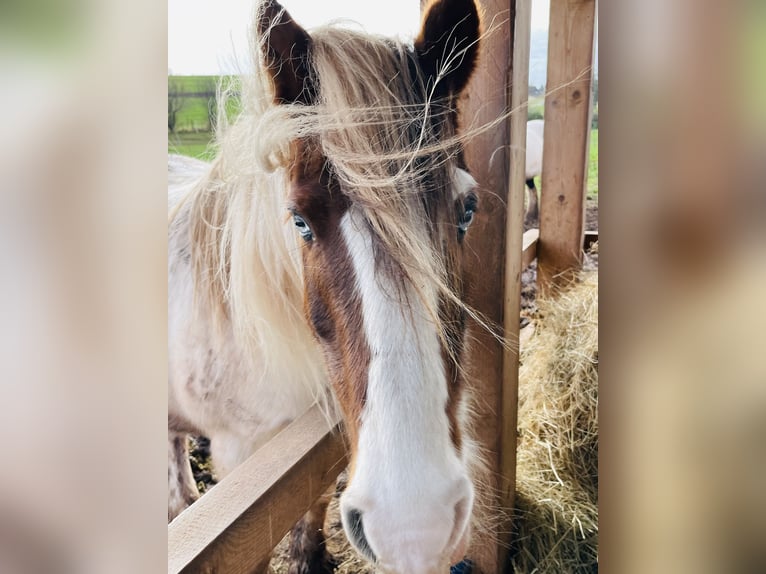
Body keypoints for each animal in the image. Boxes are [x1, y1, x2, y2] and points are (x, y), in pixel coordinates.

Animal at [171, 2, 488, 572]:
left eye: (467, 210)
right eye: (300, 222)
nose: (415, 526)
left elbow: (312, 496)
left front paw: (309, 555)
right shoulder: (238, 467)